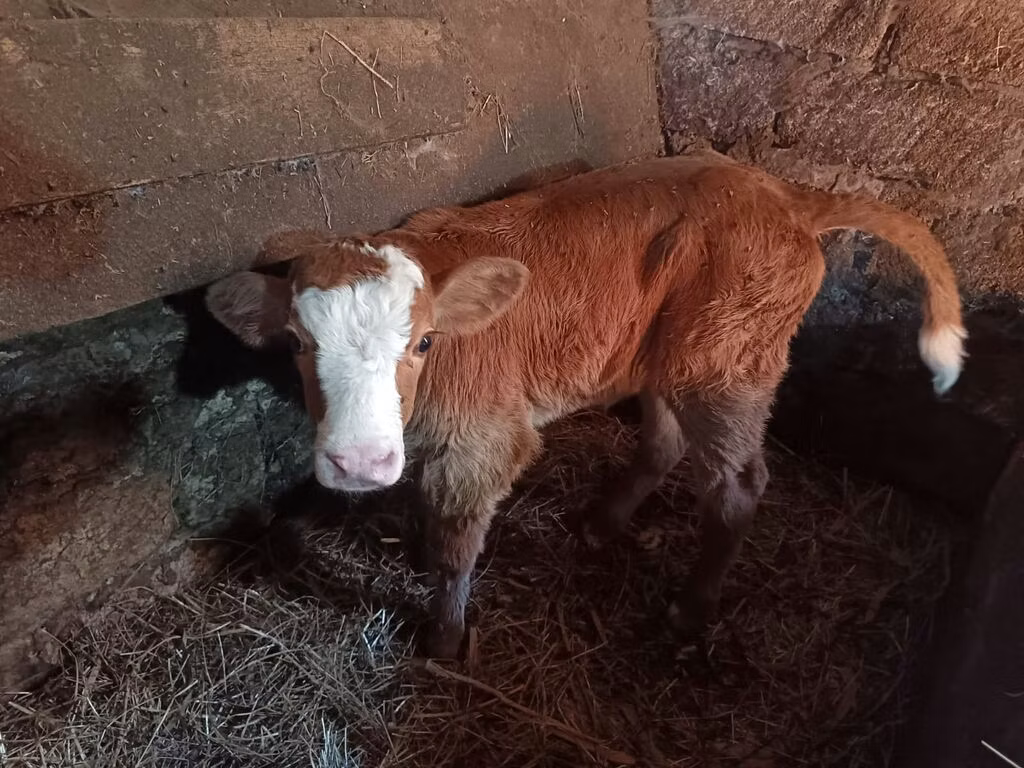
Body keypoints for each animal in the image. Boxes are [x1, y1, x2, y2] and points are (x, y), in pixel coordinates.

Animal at [204, 150, 965, 658]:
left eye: (424, 341)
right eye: (297, 342)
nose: (360, 463)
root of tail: (781, 192)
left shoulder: (486, 435)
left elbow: (458, 547)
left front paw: (444, 639)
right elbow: (429, 508)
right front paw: (416, 553)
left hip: (726, 357)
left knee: (738, 483)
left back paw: (689, 614)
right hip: (666, 350)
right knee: (664, 441)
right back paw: (602, 524)